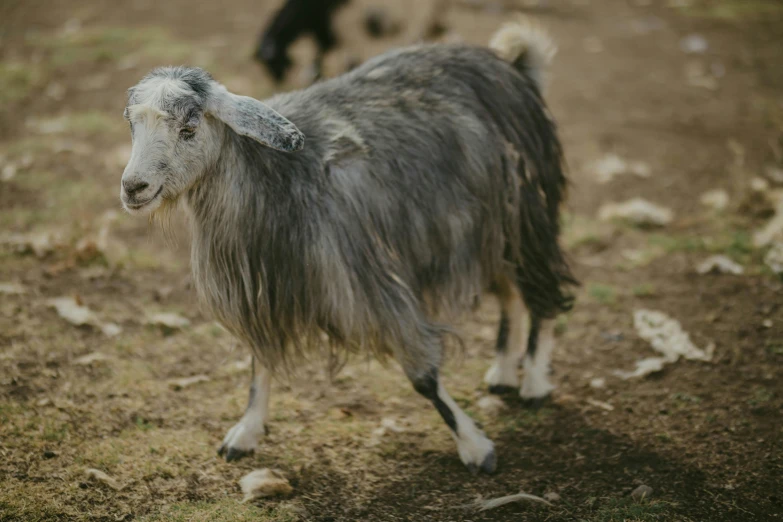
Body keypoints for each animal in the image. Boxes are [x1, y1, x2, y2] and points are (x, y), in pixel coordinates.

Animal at [121, 20, 576, 472]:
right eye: (132, 126)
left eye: (189, 129)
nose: (132, 187)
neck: (275, 177)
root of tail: (509, 65)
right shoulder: (265, 296)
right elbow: (259, 364)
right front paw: (245, 433)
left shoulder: (367, 283)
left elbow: (424, 376)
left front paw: (476, 447)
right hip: (486, 233)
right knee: (511, 291)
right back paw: (503, 371)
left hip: (525, 215)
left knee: (541, 290)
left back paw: (534, 381)